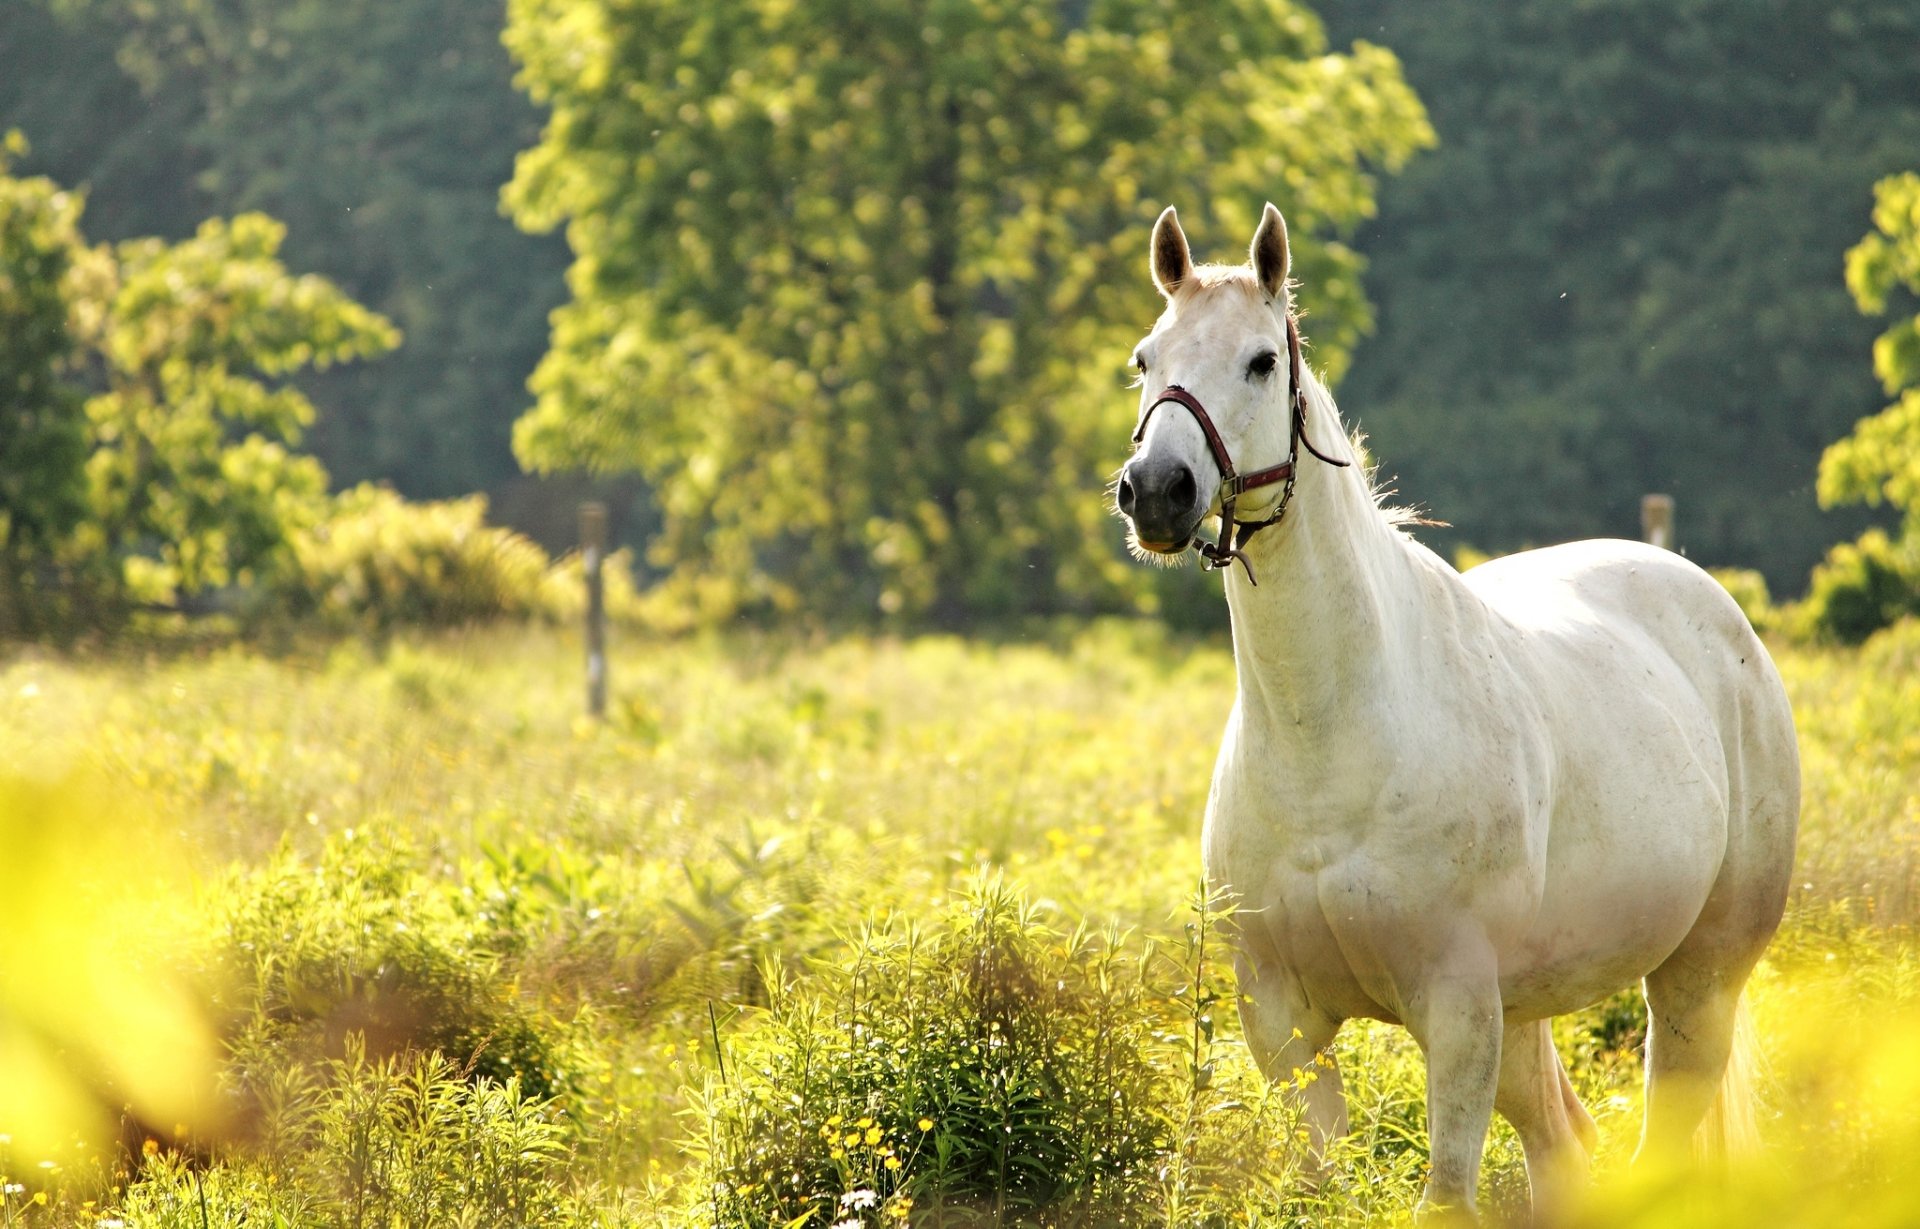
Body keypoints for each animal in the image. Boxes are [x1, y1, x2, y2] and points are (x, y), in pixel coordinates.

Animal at [1113, 203, 1798, 1222]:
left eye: (1260, 362)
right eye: (1146, 358)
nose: (1157, 490)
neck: (1333, 739)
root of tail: (1715, 610)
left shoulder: (1459, 1005)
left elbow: (1445, 1197)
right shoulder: (1280, 1020)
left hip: (1696, 979)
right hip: (1531, 1014)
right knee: (1564, 1147)